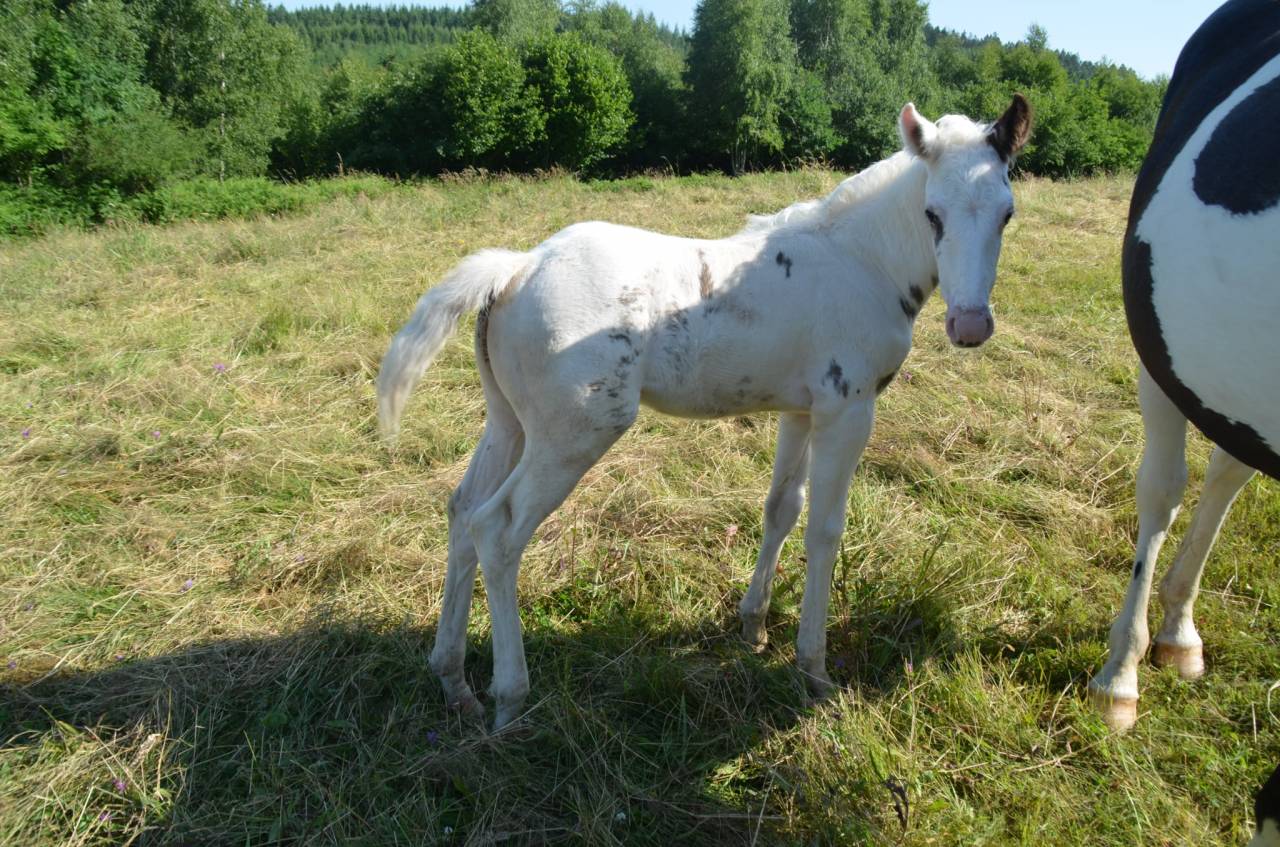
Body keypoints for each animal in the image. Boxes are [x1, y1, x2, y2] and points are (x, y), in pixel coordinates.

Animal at [377, 96, 1033, 729]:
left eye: (1007, 213)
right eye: (932, 213)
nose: (970, 326)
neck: (862, 259)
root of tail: (517, 266)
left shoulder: (801, 410)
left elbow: (781, 509)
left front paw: (753, 626)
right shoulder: (847, 410)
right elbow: (825, 529)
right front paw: (814, 669)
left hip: (510, 422)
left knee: (462, 512)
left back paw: (454, 680)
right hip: (575, 432)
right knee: (497, 527)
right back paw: (510, 699)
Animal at [1087, 0, 1280, 732]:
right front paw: (1120, 677)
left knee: (1227, 468)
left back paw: (1178, 630)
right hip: (1162, 350)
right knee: (1165, 488)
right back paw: (1132, 662)